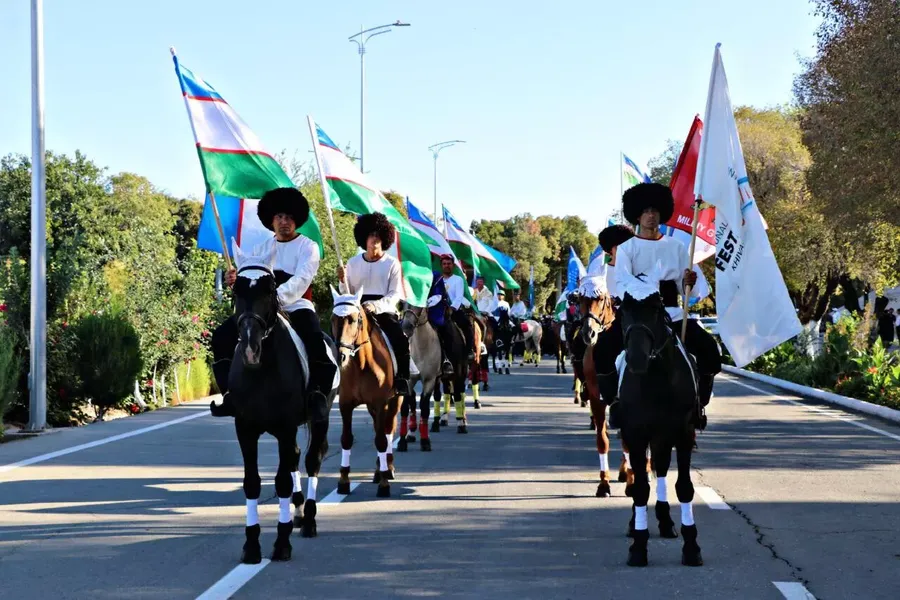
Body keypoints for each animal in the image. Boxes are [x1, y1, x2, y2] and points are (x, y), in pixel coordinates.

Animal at [225, 243, 338, 564]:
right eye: (236, 290)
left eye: (270, 289)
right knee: (297, 458)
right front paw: (252, 545)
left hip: (320, 416)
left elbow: (283, 481)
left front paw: (282, 543)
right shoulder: (245, 428)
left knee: (312, 459)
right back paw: (298, 512)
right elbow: (252, 482)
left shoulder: (286, 426)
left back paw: (308, 519)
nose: (250, 348)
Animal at [330, 288, 400, 500]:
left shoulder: (380, 403)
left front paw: (384, 485)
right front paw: (343, 481)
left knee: (387, 430)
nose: (340, 356)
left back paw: (387, 469)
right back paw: (378, 471)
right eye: (333, 319)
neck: (360, 365)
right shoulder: (345, 404)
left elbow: (381, 440)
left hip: (395, 401)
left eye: (353, 319)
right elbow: (346, 439)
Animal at [400, 302, 440, 452]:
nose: (406, 327)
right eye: (403, 303)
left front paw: (425, 441)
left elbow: (424, 407)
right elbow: (405, 407)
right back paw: (411, 432)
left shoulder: (430, 380)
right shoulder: (409, 380)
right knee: (412, 400)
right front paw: (401, 442)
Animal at [620, 290, 704, 568]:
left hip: (664, 437)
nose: (636, 359)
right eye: (622, 310)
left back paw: (666, 521)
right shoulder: (635, 434)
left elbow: (684, 487)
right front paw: (638, 545)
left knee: (662, 467)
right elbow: (640, 488)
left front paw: (691, 546)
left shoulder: (684, 433)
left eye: (656, 310)